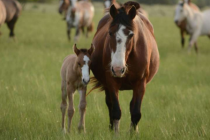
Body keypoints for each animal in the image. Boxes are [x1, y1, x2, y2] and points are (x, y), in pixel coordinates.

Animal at [90, 1, 159, 133]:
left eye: (131, 34)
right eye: (110, 33)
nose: (118, 69)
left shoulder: (140, 83)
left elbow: (136, 113)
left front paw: (132, 134)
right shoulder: (111, 82)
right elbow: (116, 111)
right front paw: (114, 133)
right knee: (110, 105)